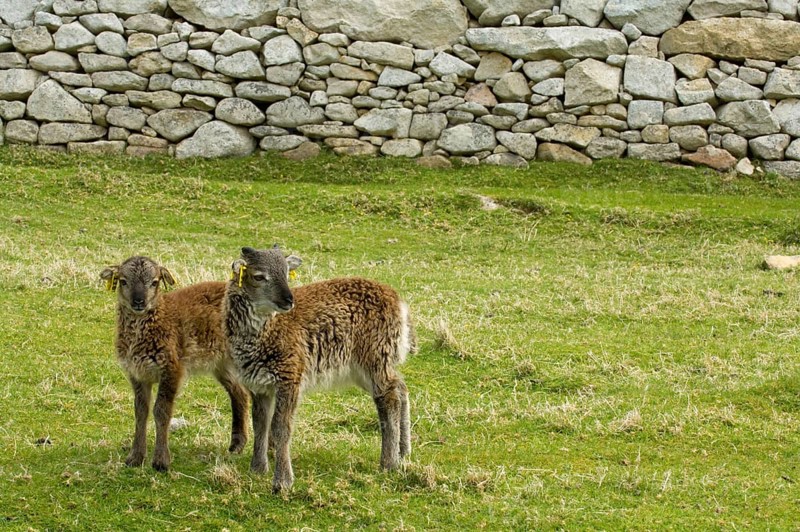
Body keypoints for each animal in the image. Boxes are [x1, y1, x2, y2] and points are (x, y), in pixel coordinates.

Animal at [100, 256, 249, 471]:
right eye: (123, 281)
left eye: (154, 282)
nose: (139, 301)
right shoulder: (137, 373)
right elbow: (140, 411)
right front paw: (135, 458)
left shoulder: (172, 368)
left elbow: (161, 411)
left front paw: (161, 461)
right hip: (223, 363)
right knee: (240, 394)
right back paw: (237, 445)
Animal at [222, 246, 415, 492]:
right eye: (258, 276)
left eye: (286, 273)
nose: (288, 300)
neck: (269, 332)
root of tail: (398, 302)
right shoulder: (259, 385)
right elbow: (260, 425)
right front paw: (257, 469)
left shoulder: (290, 377)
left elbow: (280, 427)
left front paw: (282, 481)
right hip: (364, 367)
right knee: (400, 387)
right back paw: (403, 452)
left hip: (375, 357)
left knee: (388, 397)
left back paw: (388, 463)